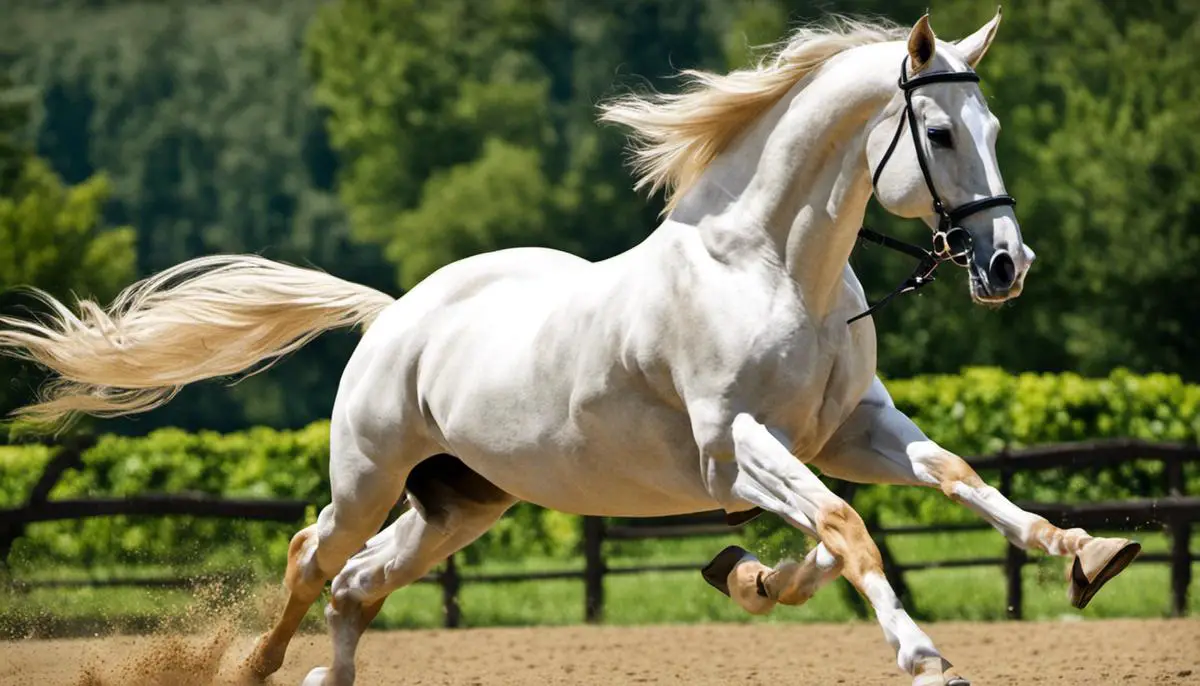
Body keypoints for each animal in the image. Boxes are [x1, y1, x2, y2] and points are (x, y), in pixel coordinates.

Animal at [2, 12, 1142, 686]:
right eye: (941, 134)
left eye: (994, 126)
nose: (1006, 264)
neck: (769, 265)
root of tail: (395, 314)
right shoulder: (737, 446)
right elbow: (849, 528)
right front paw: (920, 651)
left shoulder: (850, 428)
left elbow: (938, 484)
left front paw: (1087, 553)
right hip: (371, 474)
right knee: (310, 555)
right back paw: (248, 667)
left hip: (462, 501)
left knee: (358, 584)